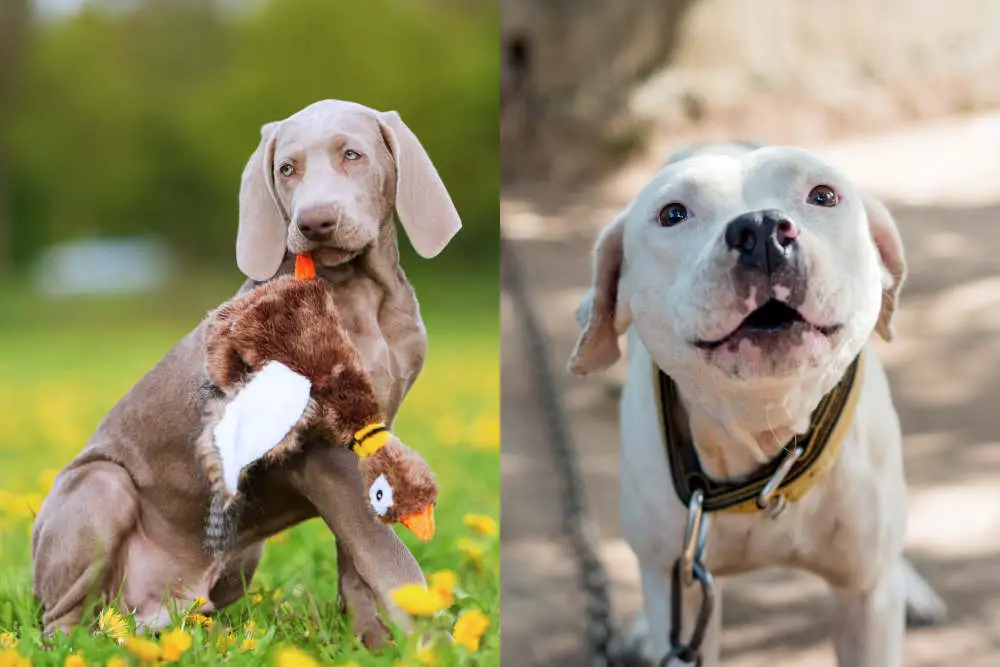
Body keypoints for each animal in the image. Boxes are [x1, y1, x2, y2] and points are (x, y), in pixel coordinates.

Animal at [31, 100, 460, 648]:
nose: (315, 222)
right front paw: (431, 643)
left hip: (236, 557)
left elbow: (359, 556)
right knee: (63, 620)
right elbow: (386, 554)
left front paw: (373, 645)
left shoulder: (369, 435)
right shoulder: (318, 451)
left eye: (352, 155)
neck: (365, 293)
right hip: (102, 485)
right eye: (287, 169)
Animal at [572, 144, 944, 664]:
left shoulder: (866, 602)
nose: (762, 228)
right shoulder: (683, 586)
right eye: (672, 214)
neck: (767, 434)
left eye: (823, 195)